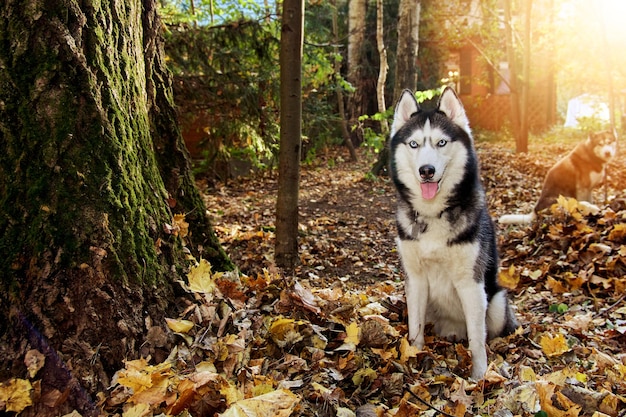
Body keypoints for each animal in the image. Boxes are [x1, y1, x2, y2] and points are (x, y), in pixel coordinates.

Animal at [390, 87, 516, 376]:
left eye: (441, 143)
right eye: (414, 144)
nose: (427, 171)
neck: (433, 213)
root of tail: (452, 328)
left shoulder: (471, 283)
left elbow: (478, 340)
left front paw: (480, 375)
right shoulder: (414, 279)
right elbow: (414, 327)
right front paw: (414, 356)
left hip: (497, 302)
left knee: (488, 330)